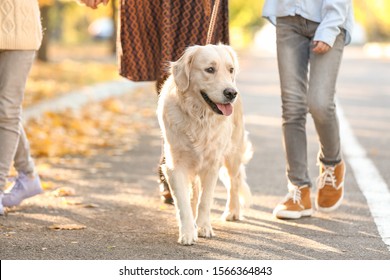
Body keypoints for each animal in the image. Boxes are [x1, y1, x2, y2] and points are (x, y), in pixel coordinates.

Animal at [157, 44, 251, 245]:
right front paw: (187, 232)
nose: (231, 93)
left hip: (233, 153)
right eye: (210, 69)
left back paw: (232, 211)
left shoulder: (212, 164)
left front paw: (203, 227)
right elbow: (184, 202)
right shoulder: (175, 166)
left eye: (230, 69)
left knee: (234, 182)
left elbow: (205, 200)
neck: (199, 116)